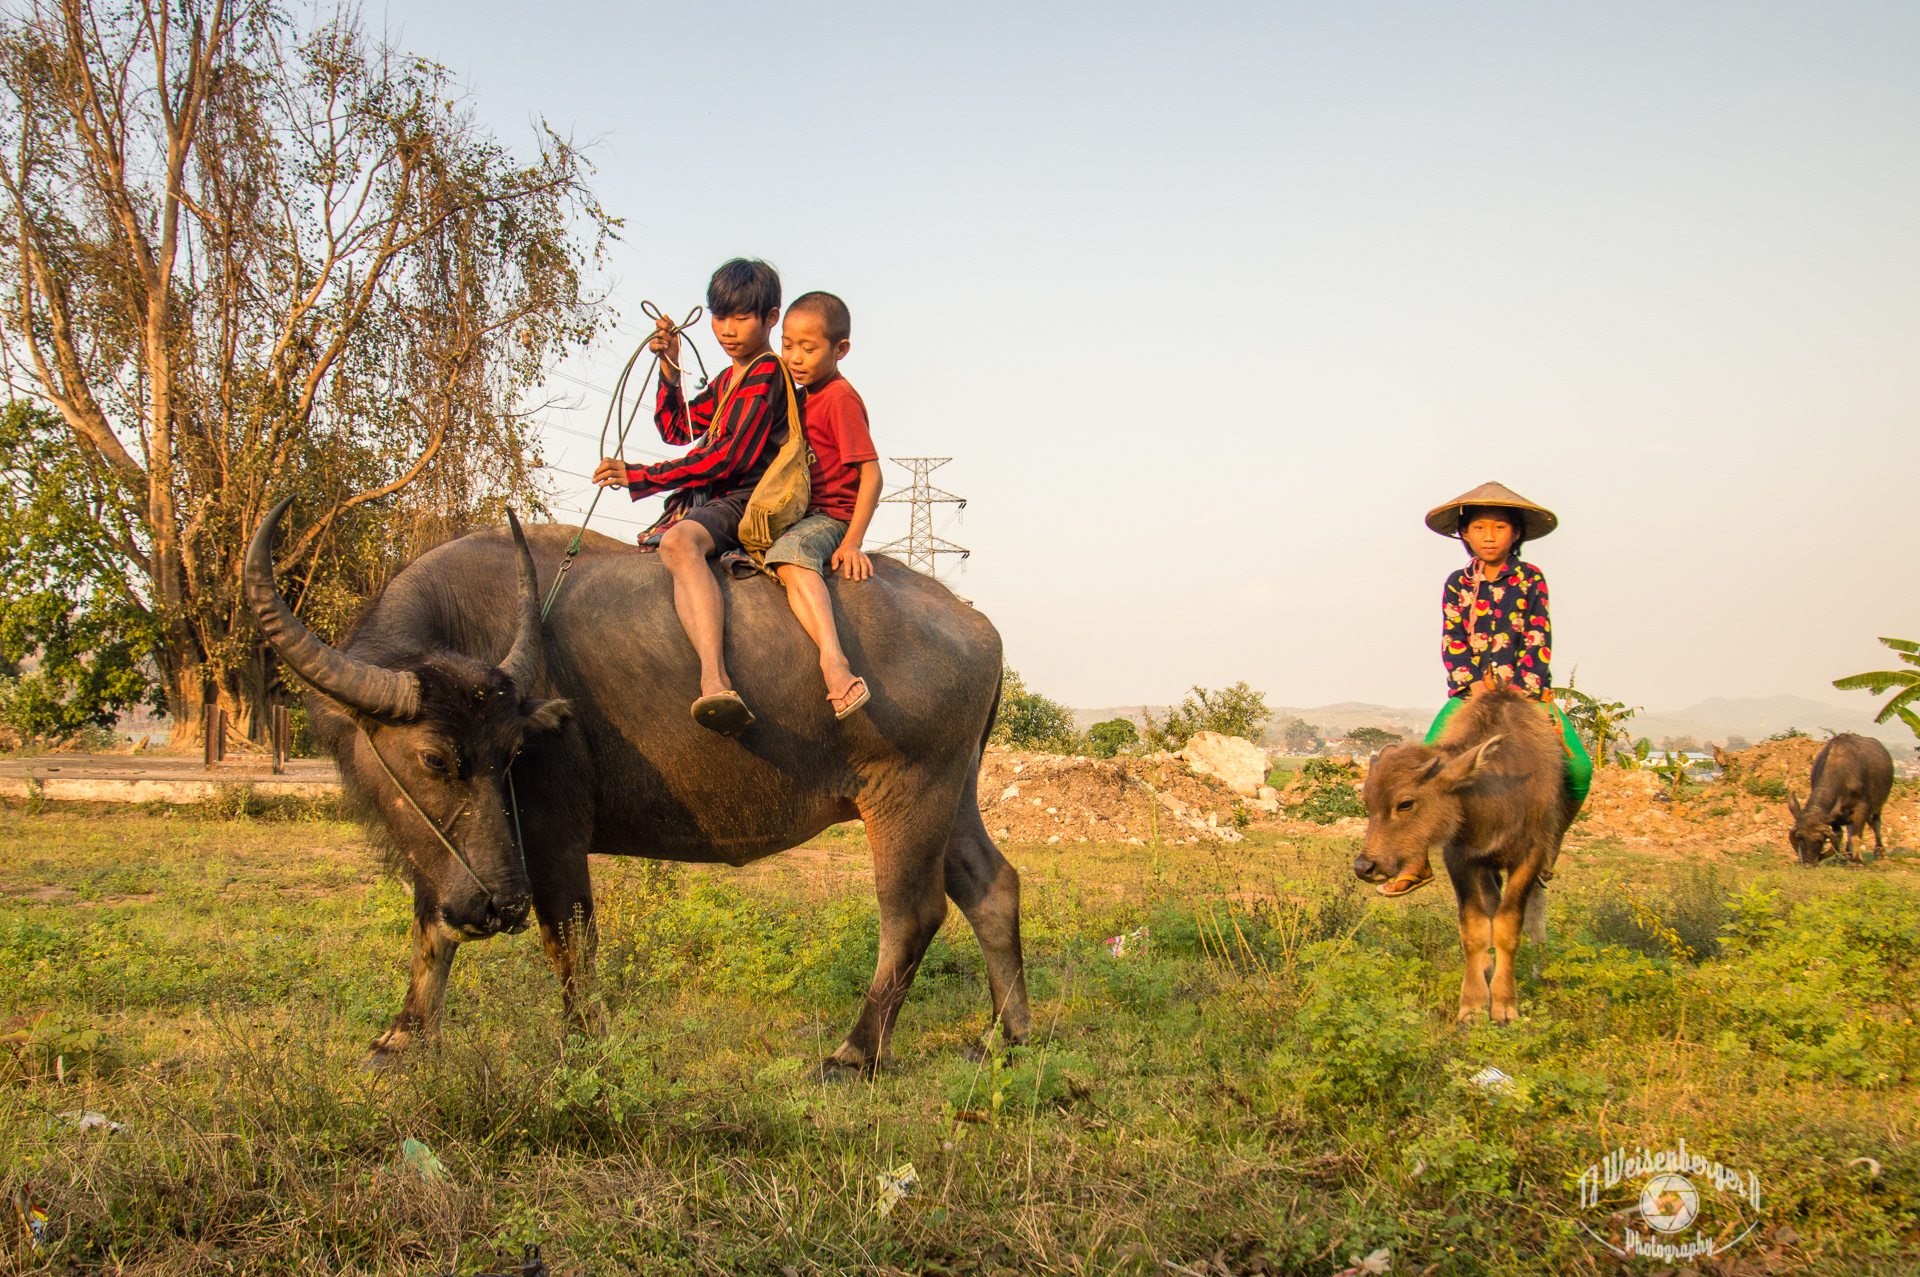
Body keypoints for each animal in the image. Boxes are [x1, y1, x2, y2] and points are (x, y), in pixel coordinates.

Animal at [244, 500, 1029, 1075]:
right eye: (436, 759)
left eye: (513, 752)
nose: (499, 904)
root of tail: (977, 624)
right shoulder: (444, 856)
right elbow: (431, 927)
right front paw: (402, 1038)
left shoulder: (552, 834)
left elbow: (569, 936)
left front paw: (584, 1044)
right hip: (954, 794)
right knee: (992, 886)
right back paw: (1006, 1033)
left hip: (904, 795)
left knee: (911, 913)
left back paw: (854, 1051)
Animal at [1352, 688, 1575, 1023]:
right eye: (1367, 802)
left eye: (1405, 803)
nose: (1365, 866)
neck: (1498, 795)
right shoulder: (1462, 859)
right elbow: (1474, 928)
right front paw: (1473, 1003)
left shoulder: (1530, 857)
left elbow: (1509, 926)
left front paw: (1505, 1004)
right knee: (1492, 906)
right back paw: (1488, 966)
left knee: (1535, 912)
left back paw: (1540, 968)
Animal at [1786, 734, 1893, 866]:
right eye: (1800, 837)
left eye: (1820, 839)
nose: (1808, 864)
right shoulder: (1834, 816)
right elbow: (1839, 835)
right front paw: (1839, 859)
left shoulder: (1862, 808)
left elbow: (1857, 837)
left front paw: (1858, 862)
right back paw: (1848, 855)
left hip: (1878, 806)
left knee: (1876, 824)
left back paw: (1879, 853)